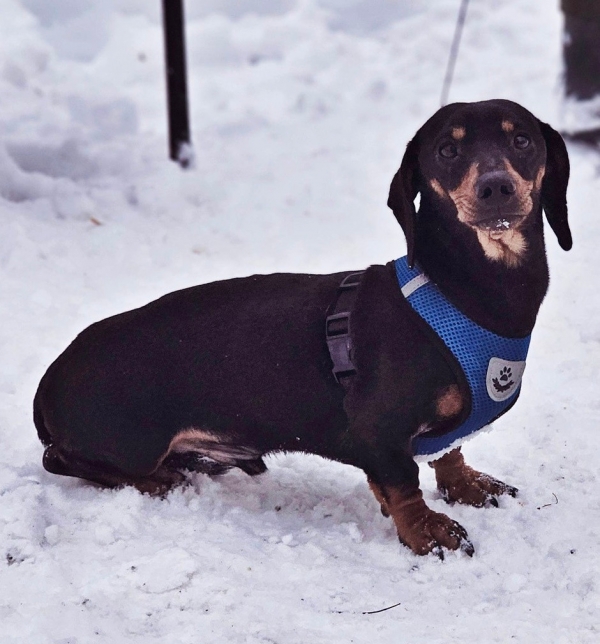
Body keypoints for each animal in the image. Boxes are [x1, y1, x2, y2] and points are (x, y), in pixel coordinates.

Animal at [34, 99, 571, 557]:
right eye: (447, 150)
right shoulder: (378, 432)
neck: (465, 291)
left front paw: (466, 486)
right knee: (61, 461)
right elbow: (403, 483)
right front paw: (426, 530)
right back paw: (159, 479)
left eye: (522, 139)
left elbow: (450, 452)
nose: (496, 187)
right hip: (131, 443)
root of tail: (49, 381)